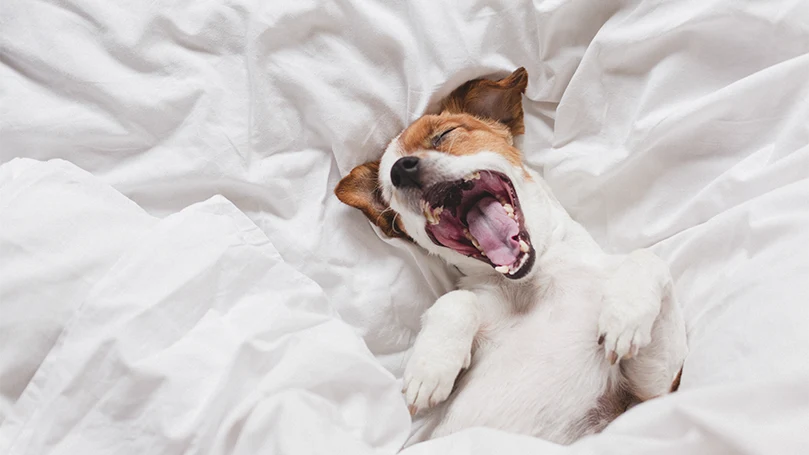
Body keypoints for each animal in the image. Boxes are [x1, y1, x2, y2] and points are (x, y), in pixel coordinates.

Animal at [334, 68, 688, 446]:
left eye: (444, 134)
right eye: (388, 188)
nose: (401, 169)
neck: (535, 281)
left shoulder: (654, 391)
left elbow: (647, 257)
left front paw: (626, 315)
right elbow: (456, 299)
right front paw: (431, 366)